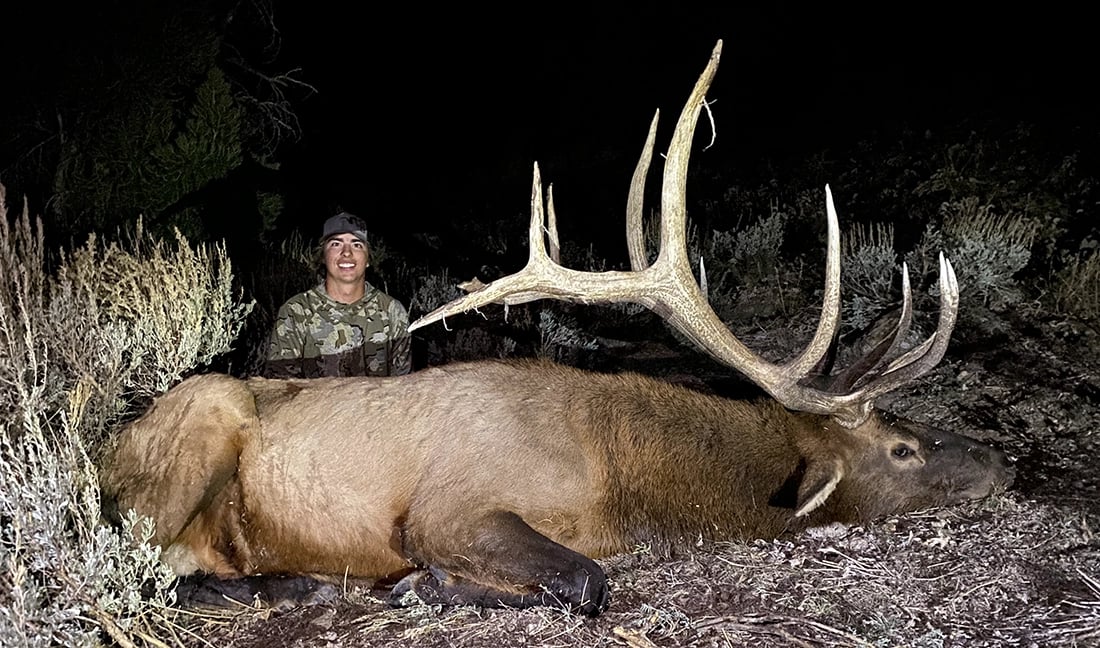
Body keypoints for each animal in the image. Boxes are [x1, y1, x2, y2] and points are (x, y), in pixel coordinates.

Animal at [101, 39, 1015, 616]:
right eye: (902, 447)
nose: (1000, 462)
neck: (614, 477)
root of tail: (107, 446)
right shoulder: (448, 509)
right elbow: (586, 583)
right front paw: (428, 587)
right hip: (203, 419)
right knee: (132, 562)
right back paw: (295, 584)